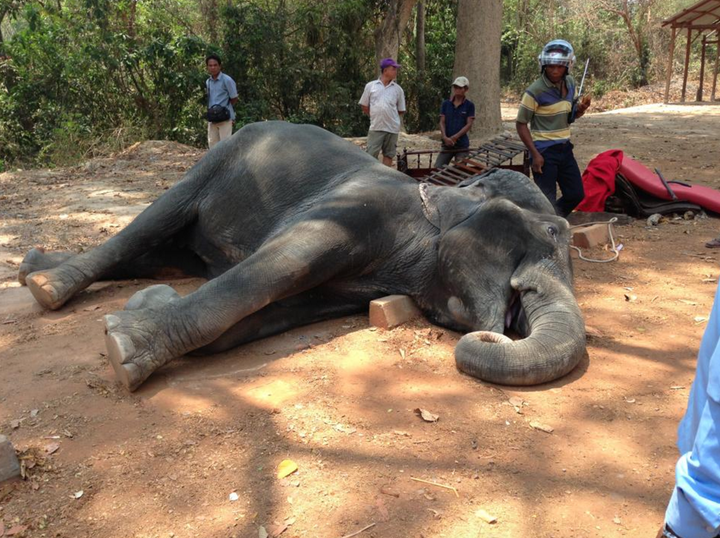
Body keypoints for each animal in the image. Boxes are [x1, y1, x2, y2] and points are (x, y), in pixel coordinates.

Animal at [19, 120, 584, 390]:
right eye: (548, 231)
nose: (498, 331)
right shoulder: (354, 210)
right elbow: (276, 267)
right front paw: (121, 350)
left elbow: (268, 315)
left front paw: (146, 306)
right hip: (216, 159)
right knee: (149, 225)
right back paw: (45, 287)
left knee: (163, 253)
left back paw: (35, 267)